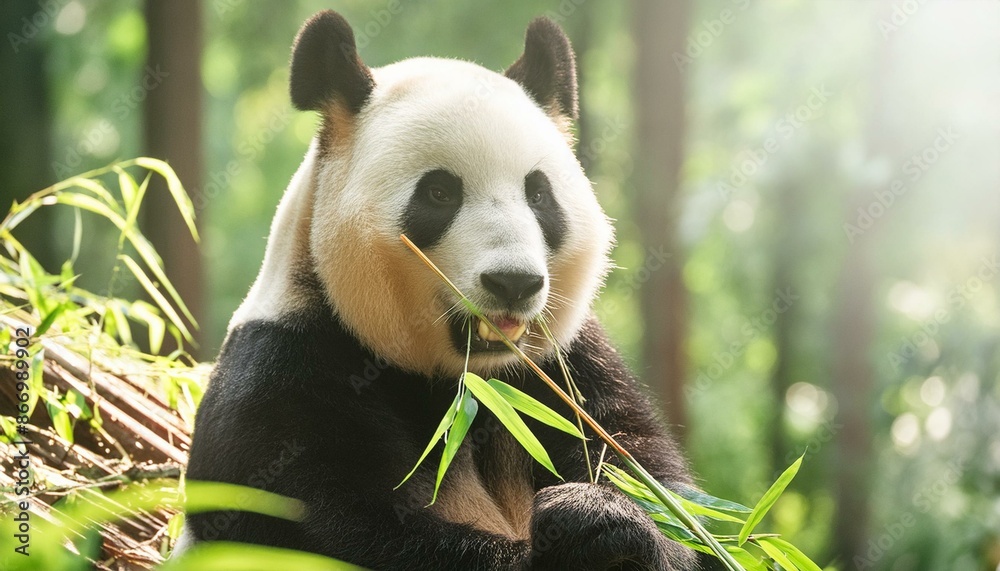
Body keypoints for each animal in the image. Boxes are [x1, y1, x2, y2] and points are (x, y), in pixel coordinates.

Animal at [183, 9, 705, 571]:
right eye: (439, 193)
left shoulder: (568, 369)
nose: (514, 282)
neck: (464, 380)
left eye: (539, 194)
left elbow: (658, 486)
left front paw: (605, 520)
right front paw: (575, 537)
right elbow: (336, 530)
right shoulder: (284, 377)